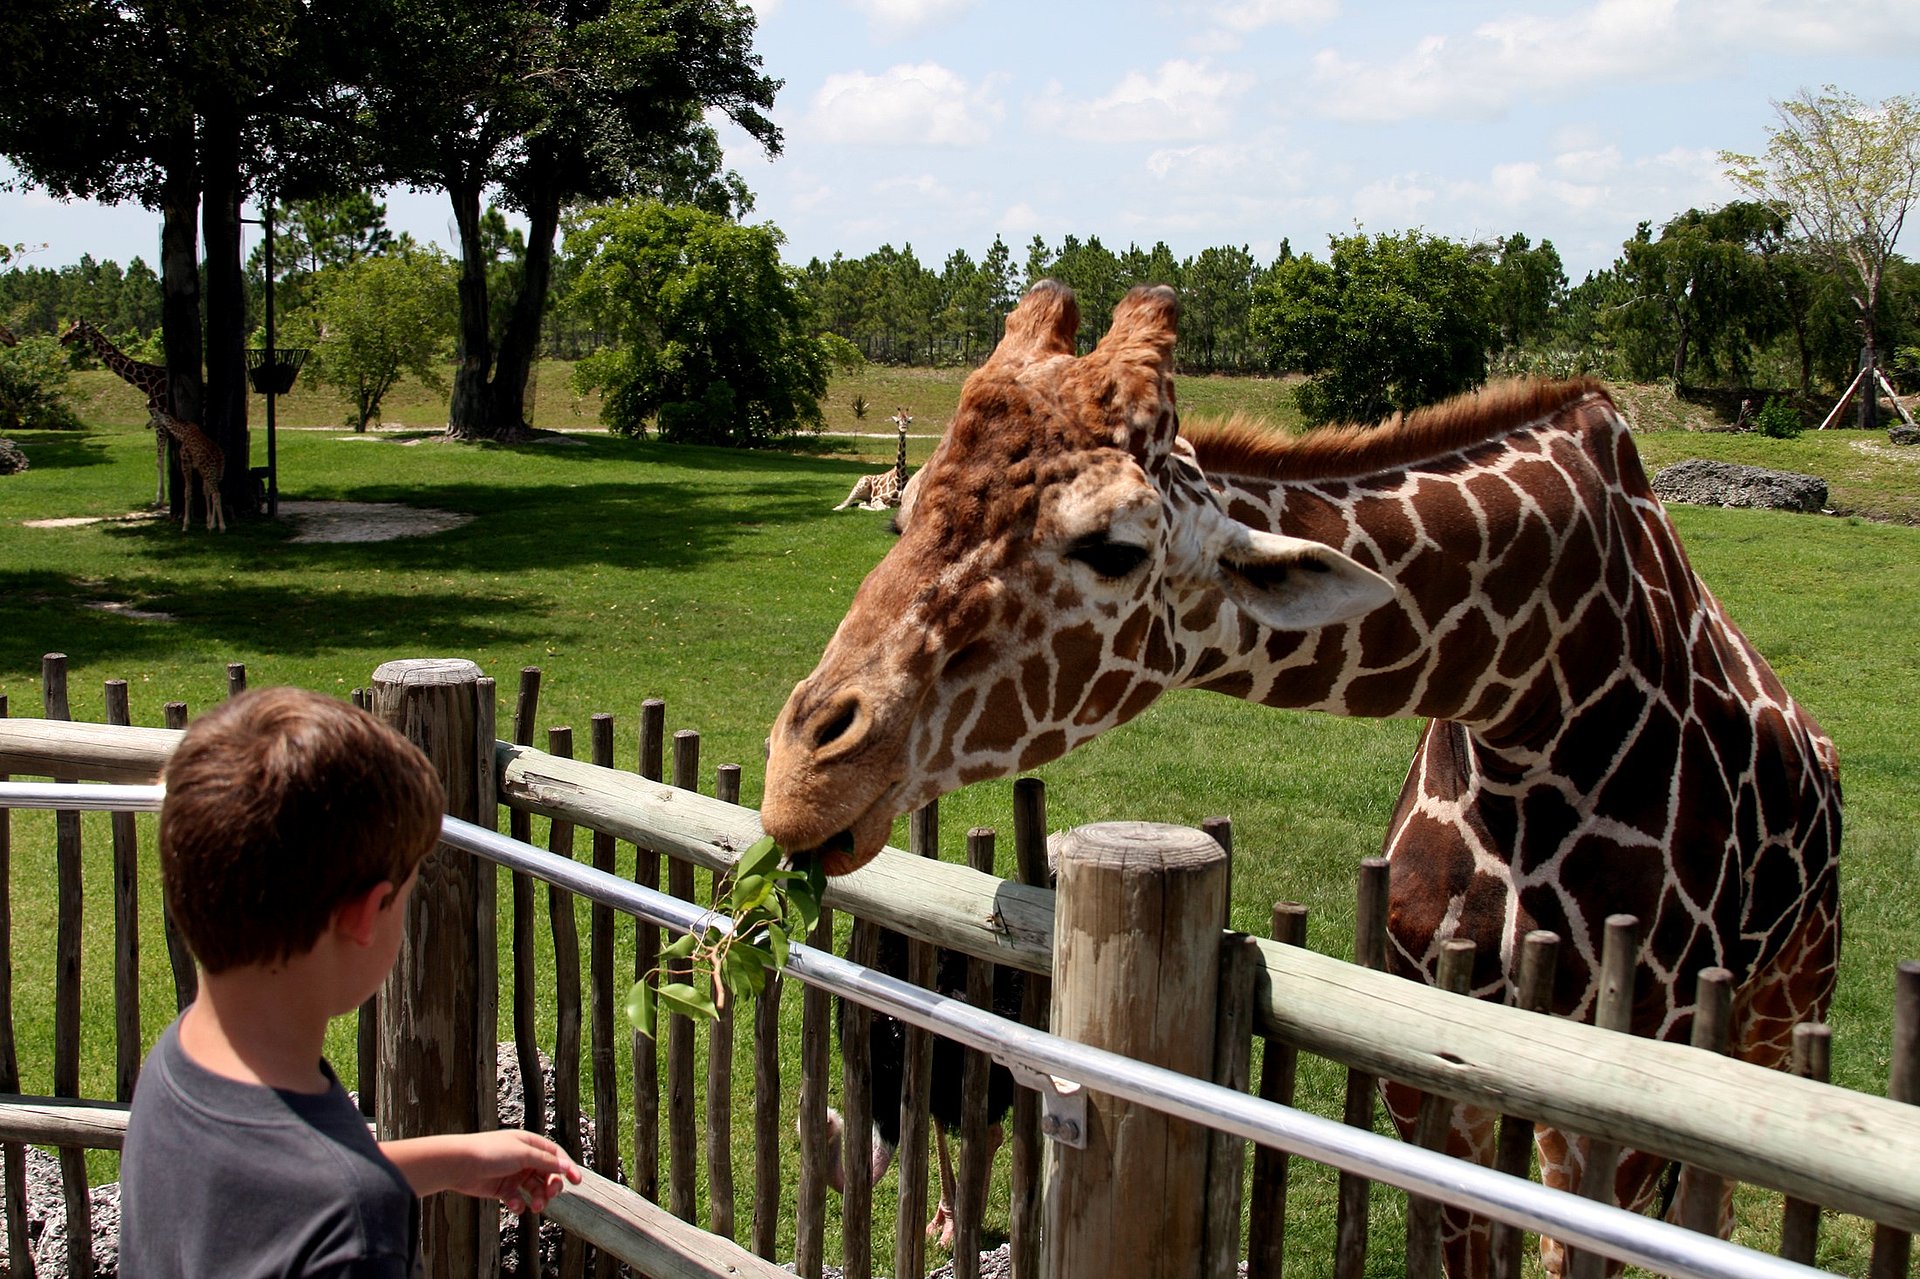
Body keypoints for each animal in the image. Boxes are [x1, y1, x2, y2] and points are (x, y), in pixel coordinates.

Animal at [760, 282, 1843, 1275]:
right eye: (906, 510)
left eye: (1112, 547)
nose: (799, 778)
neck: (1537, 693)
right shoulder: (1430, 1062)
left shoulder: (1621, 1082)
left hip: (1786, 998)